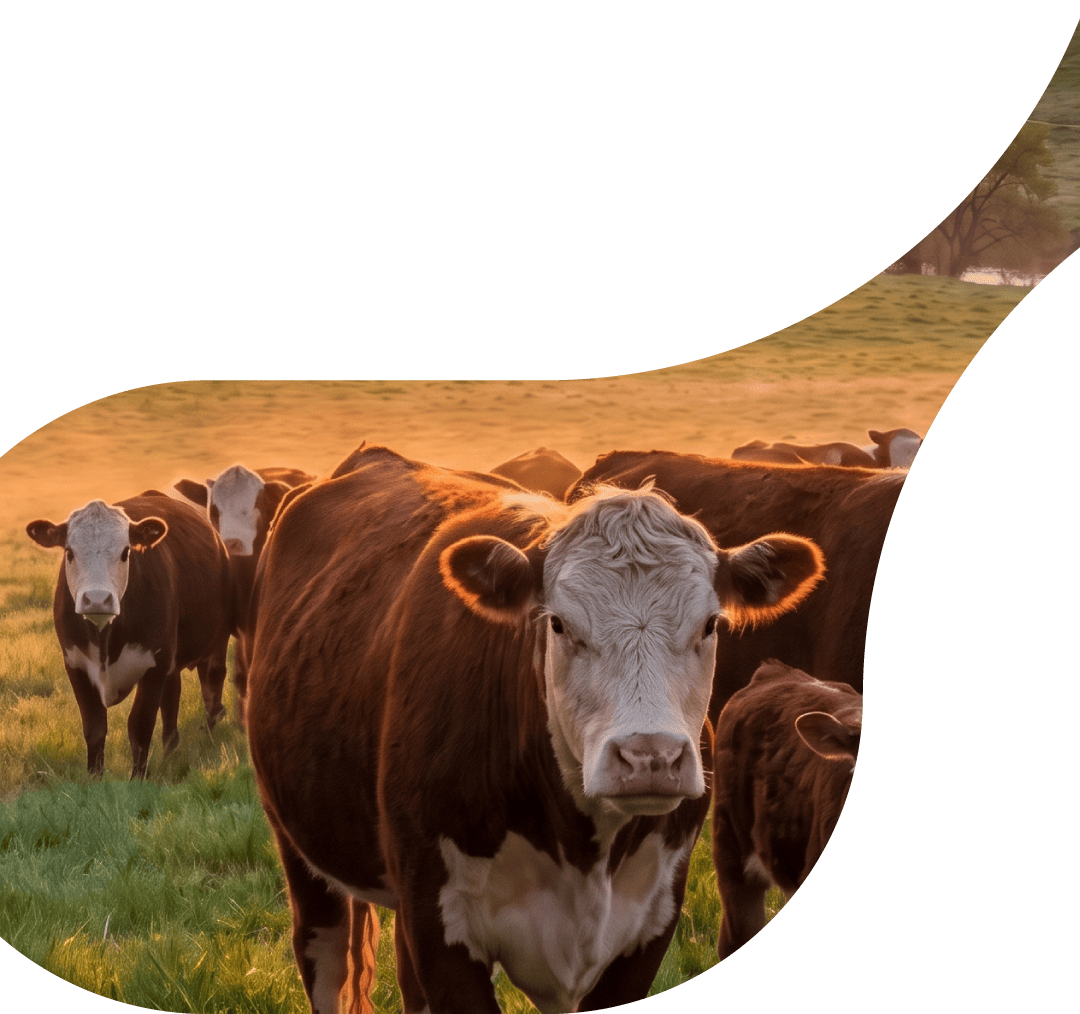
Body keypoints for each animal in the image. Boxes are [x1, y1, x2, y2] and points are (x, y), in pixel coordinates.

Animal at [26, 493, 234, 778]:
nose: (97, 599)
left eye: (126, 552)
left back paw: (208, 734)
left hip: (215, 641)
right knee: (172, 700)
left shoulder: (154, 665)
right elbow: (94, 728)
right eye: (70, 552)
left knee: (212, 682)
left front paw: (138, 778)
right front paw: (94, 779)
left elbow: (140, 726)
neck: (104, 639)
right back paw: (169, 754)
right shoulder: (75, 664)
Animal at [245, 443, 825, 1014]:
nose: (650, 757)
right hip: (300, 848)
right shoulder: (439, 926)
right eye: (559, 624)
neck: (582, 852)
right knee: (326, 960)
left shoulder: (650, 923)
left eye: (710, 624)